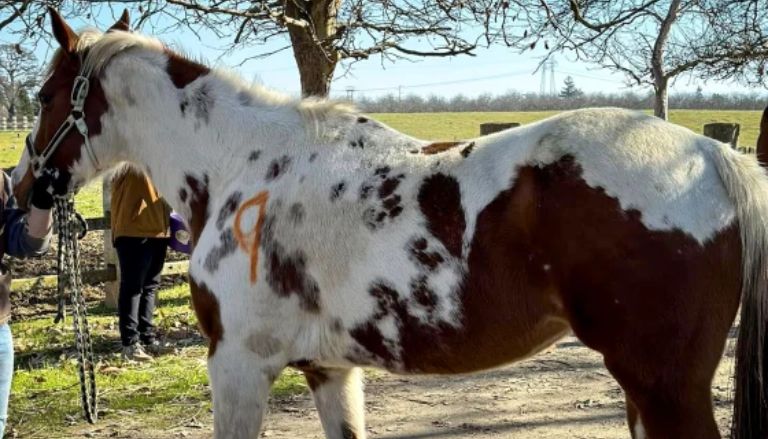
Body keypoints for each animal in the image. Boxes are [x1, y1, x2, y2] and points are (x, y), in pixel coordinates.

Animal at [10, 8, 768, 438]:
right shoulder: (330, 369)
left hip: (662, 389)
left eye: (44, 96)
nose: (22, 188)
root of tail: (710, 156)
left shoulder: (238, 365)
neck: (241, 162)